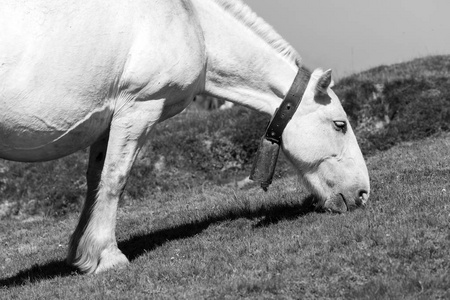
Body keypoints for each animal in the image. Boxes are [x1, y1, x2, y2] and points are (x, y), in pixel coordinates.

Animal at [0, 0, 370, 274]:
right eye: (340, 125)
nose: (363, 193)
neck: (193, 24)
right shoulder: (138, 109)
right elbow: (115, 180)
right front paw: (108, 256)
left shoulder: (109, 119)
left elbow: (95, 181)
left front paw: (82, 252)